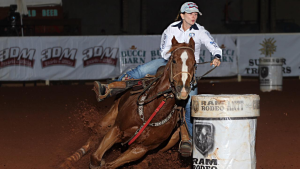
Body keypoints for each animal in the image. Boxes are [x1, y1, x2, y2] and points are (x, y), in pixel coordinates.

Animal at [61, 37, 197, 169]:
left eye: (195, 63)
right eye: (174, 61)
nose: (182, 90)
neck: (152, 111)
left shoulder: (140, 149)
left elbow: (108, 165)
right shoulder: (116, 129)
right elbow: (95, 157)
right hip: (108, 119)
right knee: (93, 138)